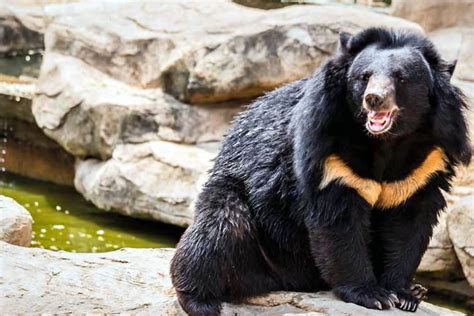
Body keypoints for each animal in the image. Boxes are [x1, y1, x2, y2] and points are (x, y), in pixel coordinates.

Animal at [169, 28, 470, 314]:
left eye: (401, 78)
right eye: (364, 77)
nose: (374, 99)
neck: (385, 142)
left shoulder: (425, 165)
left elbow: (408, 225)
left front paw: (403, 294)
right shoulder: (330, 155)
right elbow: (339, 223)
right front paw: (372, 295)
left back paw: (420, 290)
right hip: (249, 211)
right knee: (219, 227)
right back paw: (200, 301)